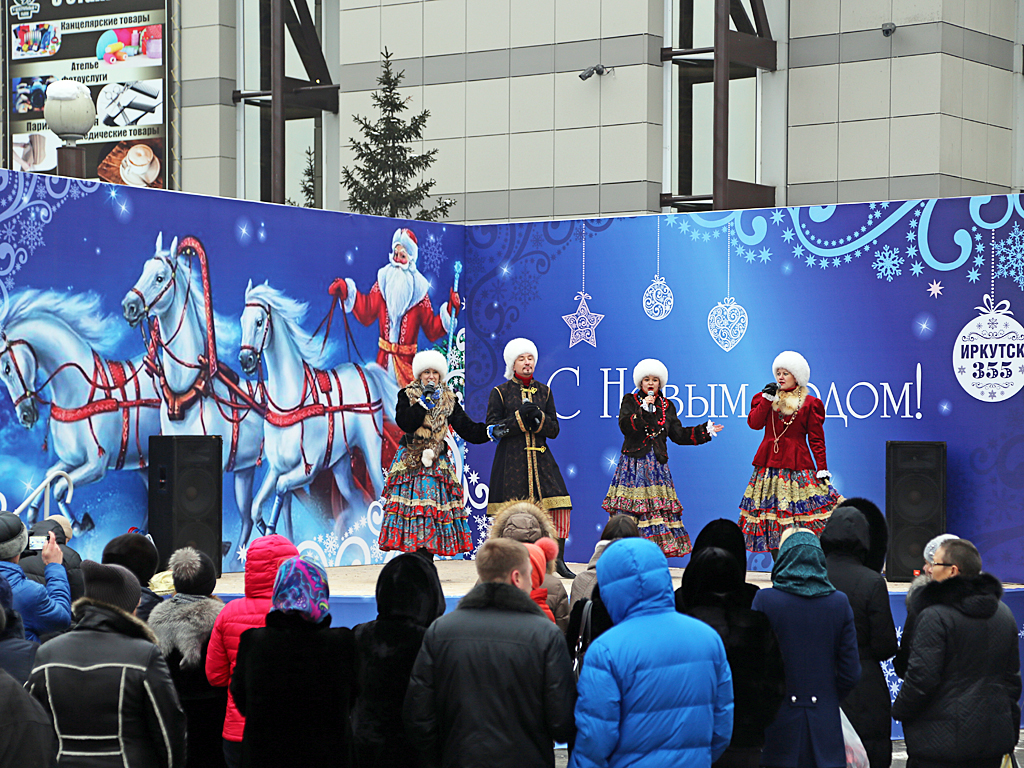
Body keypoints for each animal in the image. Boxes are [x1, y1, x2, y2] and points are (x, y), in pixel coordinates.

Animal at [0, 290, 161, 532]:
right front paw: (33, 515)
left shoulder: (96, 466)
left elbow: (60, 487)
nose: (25, 417)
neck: (80, 392)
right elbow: (50, 475)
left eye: (7, 368)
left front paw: (78, 524)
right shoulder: (72, 459)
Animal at [122, 234, 266, 552]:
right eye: (143, 270)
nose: (129, 306)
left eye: (160, 277)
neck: (186, 389)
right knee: (248, 517)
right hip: (245, 470)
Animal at [239, 280, 399, 540]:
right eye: (242, 319)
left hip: (371, 448)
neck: (291, 403)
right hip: (341, 466)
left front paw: (273, 531)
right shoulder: (276, 468)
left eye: (260, 322)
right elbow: (255, 507)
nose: (246, 360)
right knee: (356, 499)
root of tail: (365, 371)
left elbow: (281, 489)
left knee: (378, 493)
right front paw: (267, 532)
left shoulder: (307, 470)